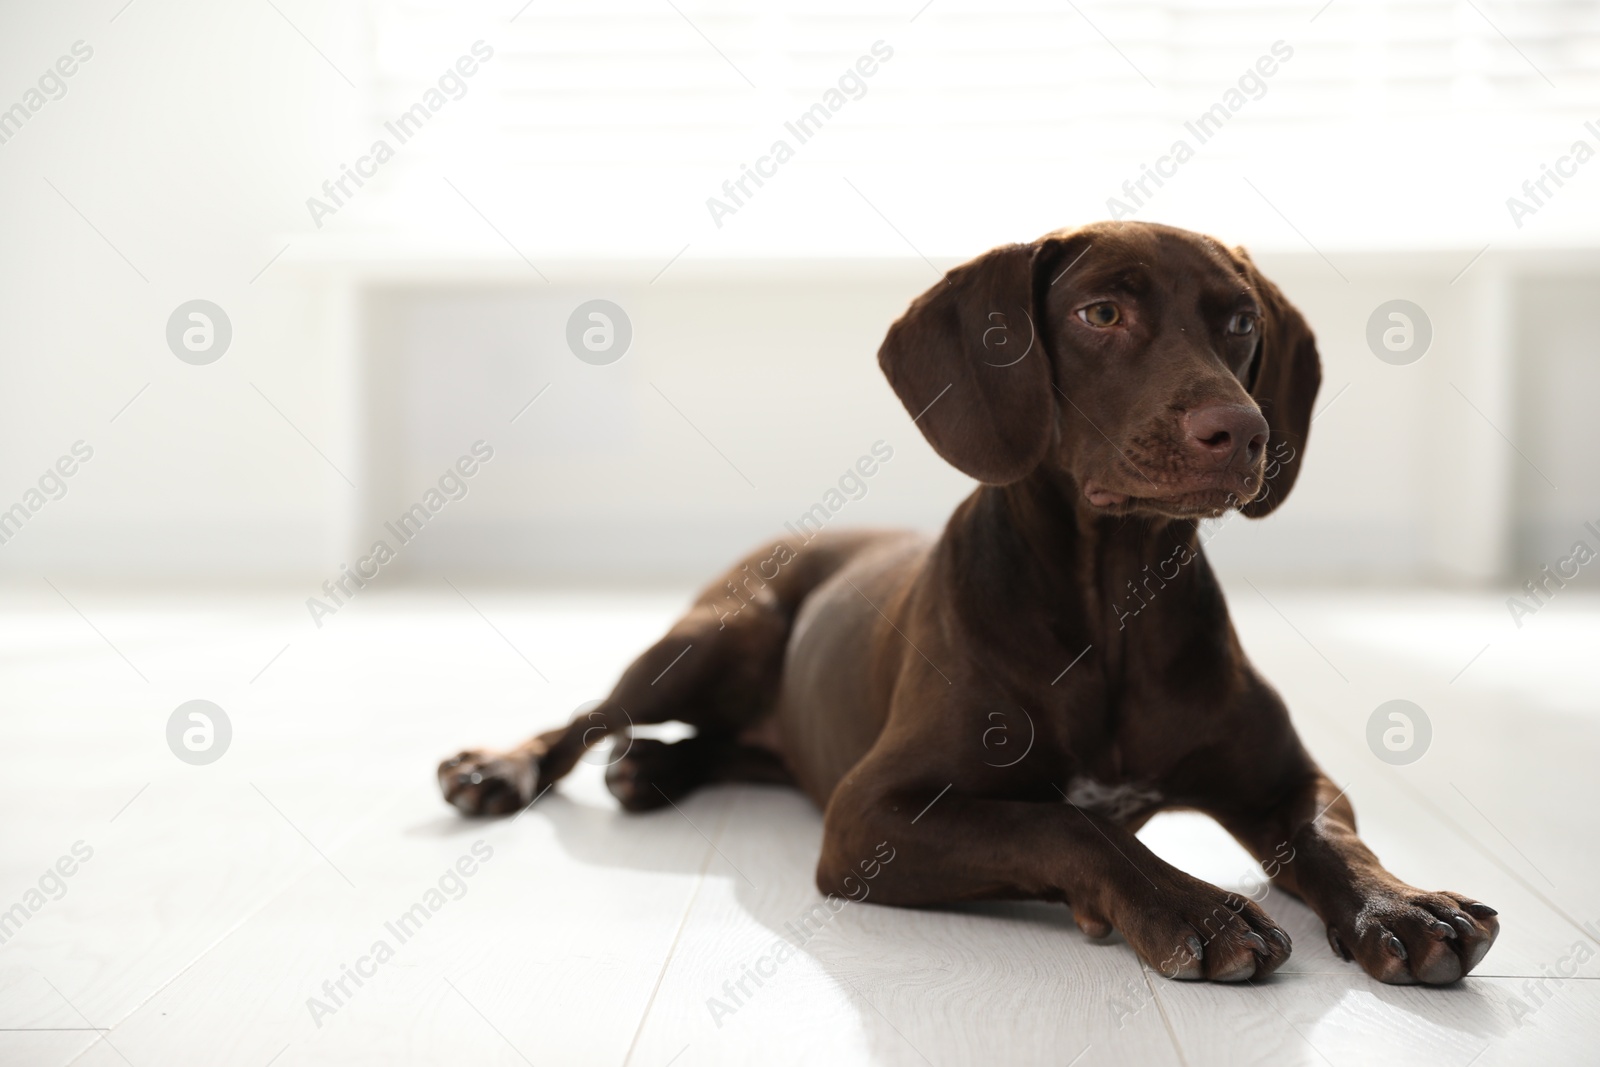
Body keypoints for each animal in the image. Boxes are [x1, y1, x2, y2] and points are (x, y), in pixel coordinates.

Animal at [441, 223, 1497, 985]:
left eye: (1239, 322)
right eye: (1101, 312)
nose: (1240, 429)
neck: (1111, 611)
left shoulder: (1283, 778)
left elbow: (1332, 837)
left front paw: (1400, 905)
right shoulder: (869, 817)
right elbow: (1065, 823)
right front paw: (1192, 904)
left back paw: (655, 768)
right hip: (714, 640)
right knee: (589, 715)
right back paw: (502, 766)